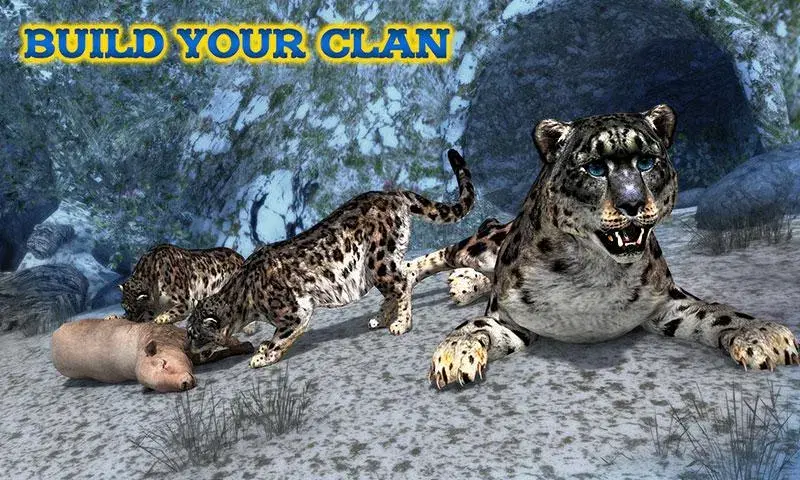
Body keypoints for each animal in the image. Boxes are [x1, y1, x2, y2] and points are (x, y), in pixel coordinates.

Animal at [186, 149, 475, 368]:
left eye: (195, 335)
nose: (188, 351)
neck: (246, 302)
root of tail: (391, 193)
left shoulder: (296, 311)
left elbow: (282, 336)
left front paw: (264, 356)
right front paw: (263, 347)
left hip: (379, 261)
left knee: (402, 283)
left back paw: (400, 324)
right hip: (383, 262)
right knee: (408, 274)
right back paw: (380, 318)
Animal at [427, 104, 800, 389]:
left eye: (646, 162)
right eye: (595, 168)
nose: (632, 204)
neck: (593, 273)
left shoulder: (666, 303)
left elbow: (718, 310)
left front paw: (762, 334)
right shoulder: (510, 316)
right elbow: (475, 325)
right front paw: (453, 354)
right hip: (480, 245)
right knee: (451, 251)